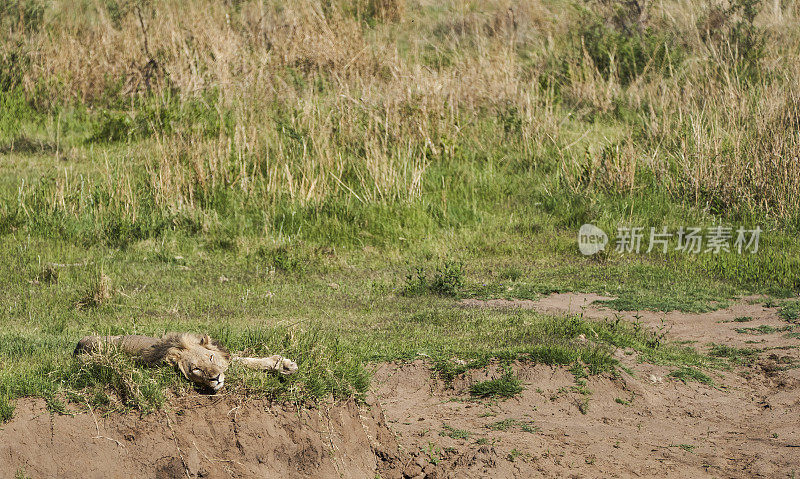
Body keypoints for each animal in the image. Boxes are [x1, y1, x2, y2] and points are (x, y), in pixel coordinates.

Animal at [75, 332, 298, 392]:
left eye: (210, 358)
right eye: (196, 370)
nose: (216, 378)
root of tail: (79, 344)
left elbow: (244, 361)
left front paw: (285, 365)